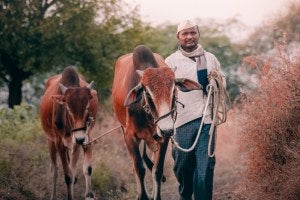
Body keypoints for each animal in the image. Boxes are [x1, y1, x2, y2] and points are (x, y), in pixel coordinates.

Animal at [39, 66, 98, 199]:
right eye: (68, 108)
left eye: (87, 107)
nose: (80, 138)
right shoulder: (59, 143)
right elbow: (67, 176)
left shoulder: (84, 140)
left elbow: (86, 169)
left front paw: (89, 194)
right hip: (51, 141)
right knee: (55, 170)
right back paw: (53, 196)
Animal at [111, 45, 200, 200]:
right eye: (147, 92)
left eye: (174, 90)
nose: (167, 129)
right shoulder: (130, 136)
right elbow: (139, 168)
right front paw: (143, 196)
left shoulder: (163, 138)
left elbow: (157, 170)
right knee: (135, 166)